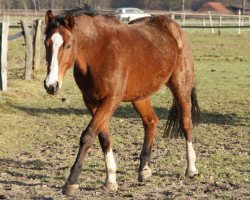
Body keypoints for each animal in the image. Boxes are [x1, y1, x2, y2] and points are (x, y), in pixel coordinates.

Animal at [43, 7, 199, 196]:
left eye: (68, 45)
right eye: (46, 44)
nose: (51, 85)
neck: (98, 53)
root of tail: (174, 27)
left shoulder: (111, 100)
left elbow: (88, 135)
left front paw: (71, 182)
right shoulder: (91, 102)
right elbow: (103, 138)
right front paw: (111, 180)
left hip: (181, 89)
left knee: (186, 124)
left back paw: (191, 169)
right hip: (140, 96)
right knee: (151, 121)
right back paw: (144, 169)